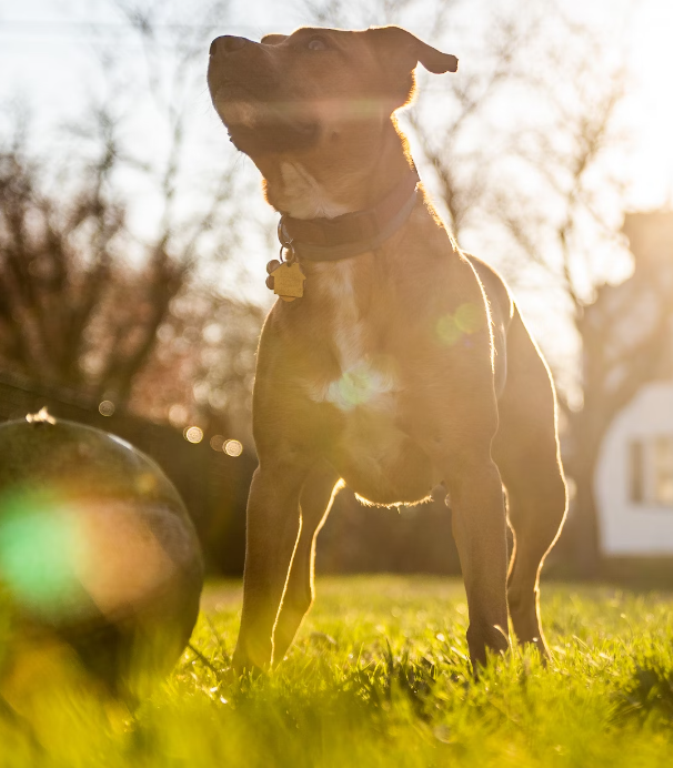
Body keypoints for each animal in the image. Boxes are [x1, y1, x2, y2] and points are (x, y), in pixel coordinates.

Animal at [207, 24, 564, 672]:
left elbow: (486, 605)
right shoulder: (277, 474)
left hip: (543, 487)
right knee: (299, 586)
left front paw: (489, 684)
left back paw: (538, 661)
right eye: (269, 37)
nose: (220, 43)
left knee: (520, 585)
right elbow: (259, 598)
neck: (344, 242)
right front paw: (244, 681)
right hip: (314, 489)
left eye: (315, 46)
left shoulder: (473, 470)